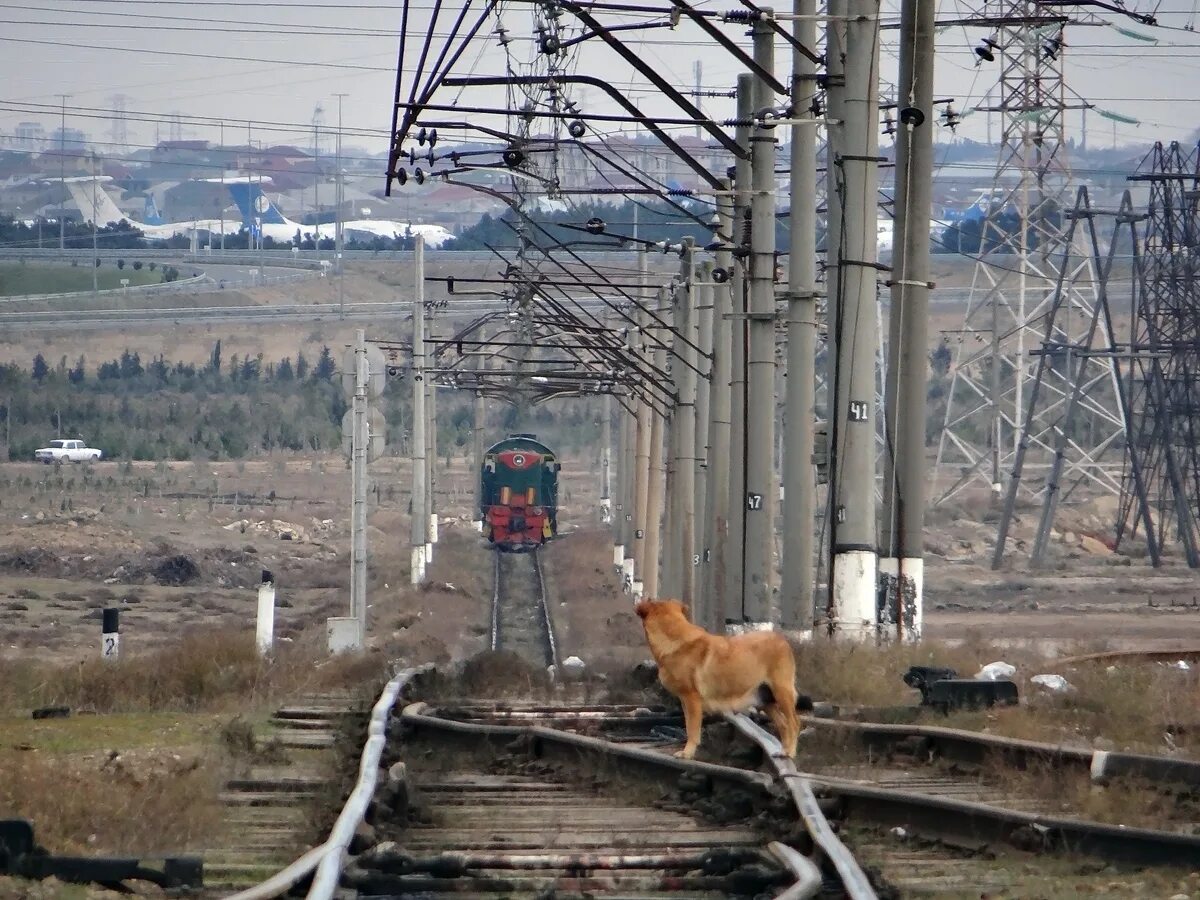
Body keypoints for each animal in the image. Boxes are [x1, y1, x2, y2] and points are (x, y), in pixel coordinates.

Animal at [633, 600, 801, 763]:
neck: (674, 638)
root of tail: (782, 640)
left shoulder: (691, 699)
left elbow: (692, 730)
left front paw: (687, 753)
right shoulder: (685, 702)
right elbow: (688, 726)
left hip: (781, 692)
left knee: (794, 723)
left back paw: (790, 752)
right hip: (764, 700)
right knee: (783, 724)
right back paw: (783, 751)